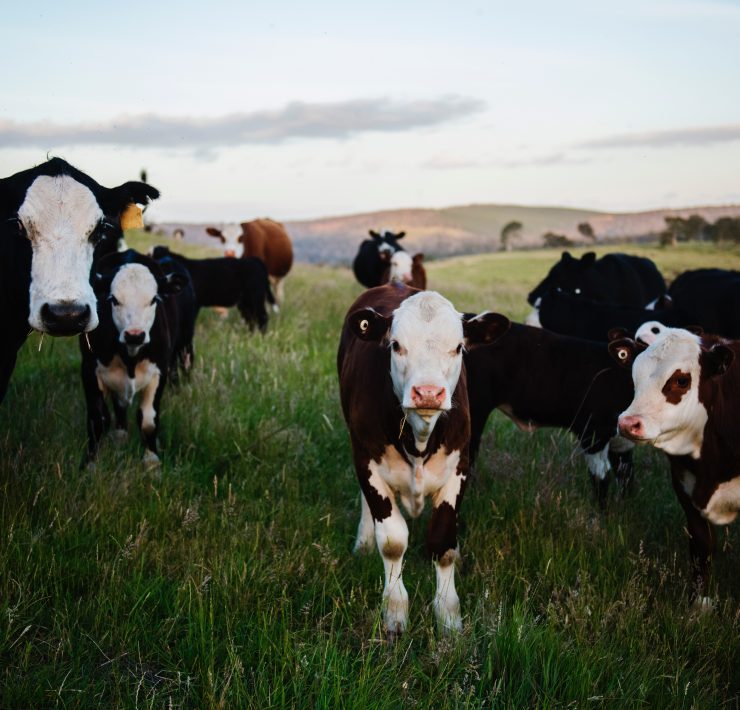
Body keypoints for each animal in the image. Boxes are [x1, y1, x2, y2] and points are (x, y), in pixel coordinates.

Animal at [80, 250, 194, 466]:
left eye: (154, 299)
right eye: (114, 300)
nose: (135, 335)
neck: (130, 357)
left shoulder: (159, 371)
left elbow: (148, 420)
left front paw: (152, 461)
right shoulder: (89, 369)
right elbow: (98, 418)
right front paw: (90, 463)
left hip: (184, 343)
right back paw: (120, 436)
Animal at [337, 283, 510, 636]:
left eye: (458, 347)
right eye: (396, 345)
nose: (428, 393)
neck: (419, 438)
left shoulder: (459, 467)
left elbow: (442, 542)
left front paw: (448, 619)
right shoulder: (366, 458)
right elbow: (392, 541)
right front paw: (394, 614)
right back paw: (363, 543)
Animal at [465, 323, 636, 507]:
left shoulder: (622, 444)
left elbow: (626, 477)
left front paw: (624, 509)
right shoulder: (592, 433)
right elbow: (601, 477)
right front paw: (601, 512)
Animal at [611, 328, 739, 606]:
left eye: (681, 380)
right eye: (634, 377)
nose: (628, 423)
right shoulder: (684, 488)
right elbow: (702, 547)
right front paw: (698, 604)